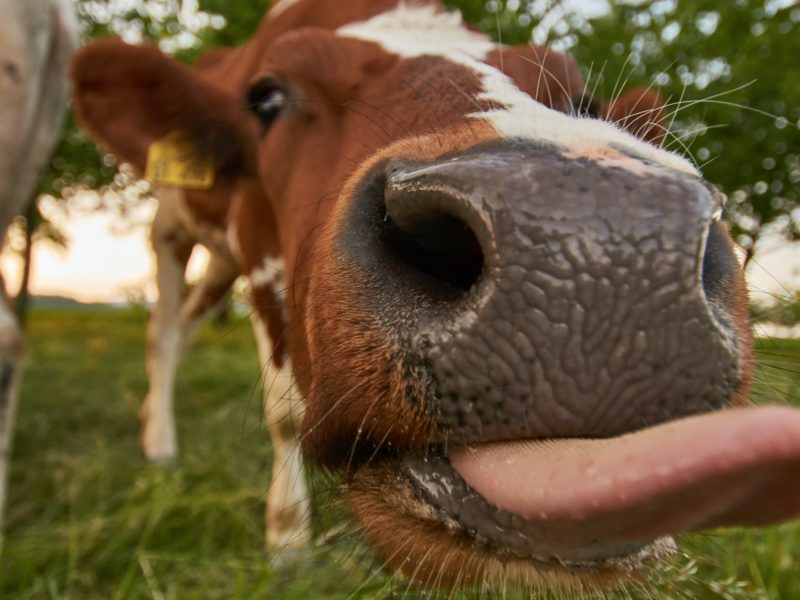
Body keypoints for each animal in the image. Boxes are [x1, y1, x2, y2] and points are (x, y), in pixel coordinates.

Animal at [70, 0, 800, 592]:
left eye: (584, 99)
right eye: (267, 98)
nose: (597, 247)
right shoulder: (259, 253)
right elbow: (281, 413)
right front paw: (286, 542)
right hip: (172, 227)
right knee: (165, 330)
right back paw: (160, 445)